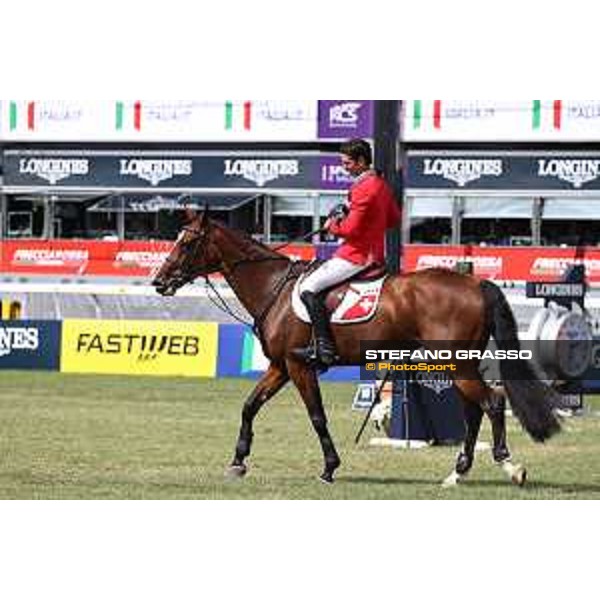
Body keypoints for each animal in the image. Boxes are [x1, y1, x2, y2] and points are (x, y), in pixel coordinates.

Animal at [151, 209, 564, 486]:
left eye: (188, 242)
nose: (159, 281)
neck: (274, 287)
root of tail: (476, 283)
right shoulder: (280, 367)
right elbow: (250, 405)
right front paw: (238, 461)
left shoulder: (300, 367)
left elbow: (317, 416)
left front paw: (329, 467)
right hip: (459, 364)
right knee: (474, 409)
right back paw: (457, 473)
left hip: (454, 364)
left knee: (492, 402)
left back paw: (509, 467)